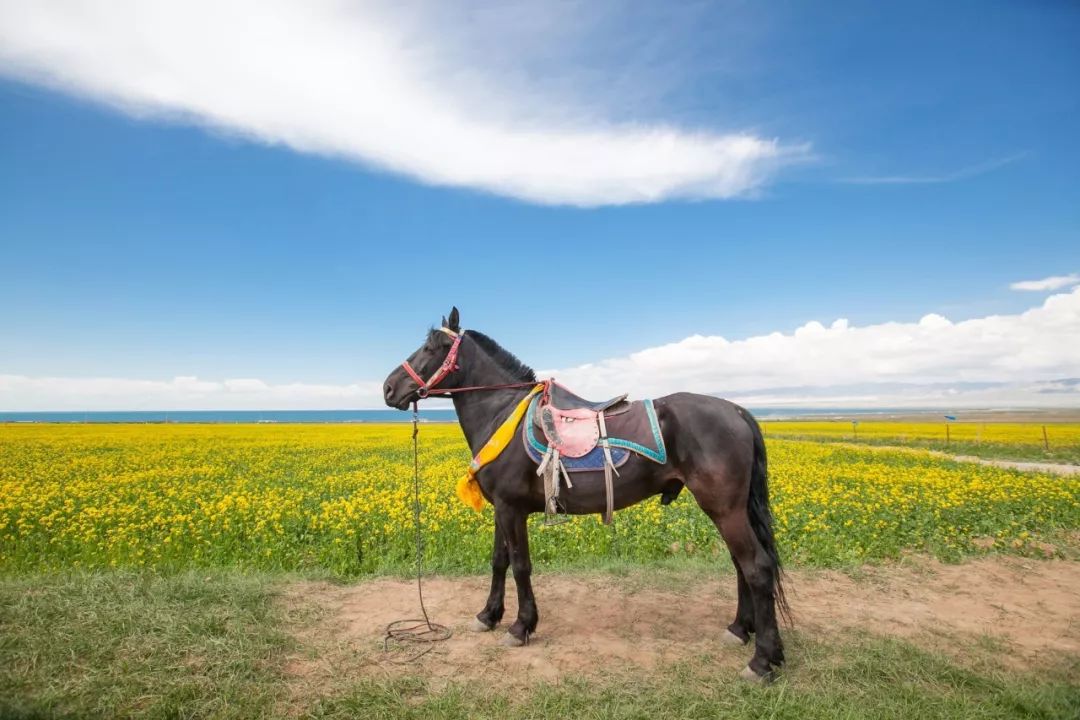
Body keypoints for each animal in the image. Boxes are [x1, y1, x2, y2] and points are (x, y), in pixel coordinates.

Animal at [382, 307, 788, 681]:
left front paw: (521, 626)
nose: (388, 388)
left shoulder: (512, 509)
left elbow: (520, 565)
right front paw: (488, 615)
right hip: (729, 511)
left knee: (756, 567)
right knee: (741, 565)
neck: (503, 414)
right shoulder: (502, 508)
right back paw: (740, 630)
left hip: (725, 509)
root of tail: (736, 410)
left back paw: (763, 660)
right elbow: (499, 562)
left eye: (432, 347)